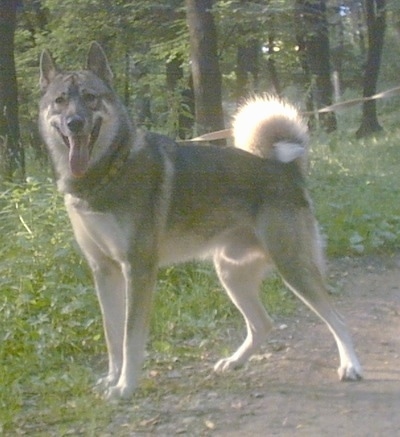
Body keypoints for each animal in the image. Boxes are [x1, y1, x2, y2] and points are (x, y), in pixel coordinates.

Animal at [38, 41, 362, 398]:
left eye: (90, 97)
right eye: (60, 100)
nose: (74, 122)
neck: (108, 170)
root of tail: (284, 169)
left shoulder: (138, 269)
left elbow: (130, 338)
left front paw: (125, 386)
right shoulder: (104, 271)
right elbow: (112, 336)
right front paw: (112, 378)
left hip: (292, 265)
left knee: (337, 318)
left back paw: (350, 366)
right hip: (231, 272)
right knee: (262, 324)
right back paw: (235, 362)